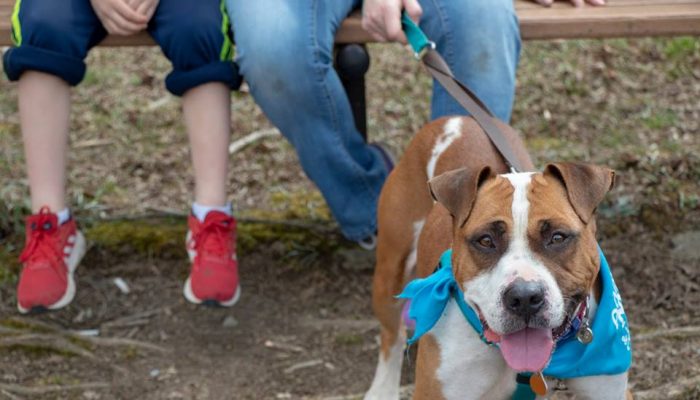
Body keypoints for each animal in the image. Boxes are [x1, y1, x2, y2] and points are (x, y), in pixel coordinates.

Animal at [364, 116, 628, 400]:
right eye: (486, 240)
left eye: (557, 237)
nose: (525, 298)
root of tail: (457, 119)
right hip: (390, 274)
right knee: (392, 336)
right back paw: (382, 390)